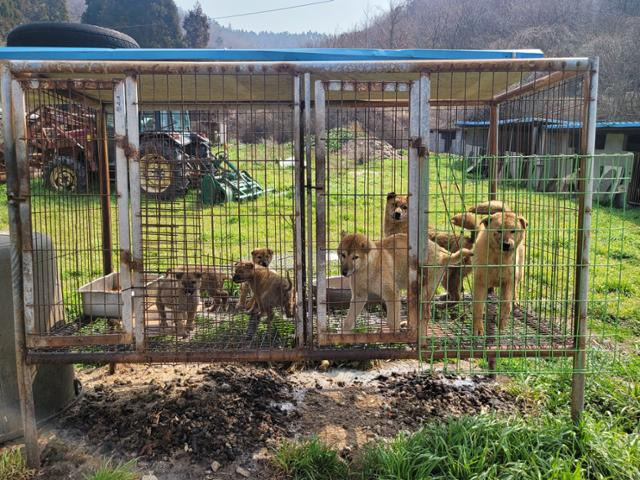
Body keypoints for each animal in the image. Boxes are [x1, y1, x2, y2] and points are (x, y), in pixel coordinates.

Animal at [338, 232, 472, 334]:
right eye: (343, 255)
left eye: (355, 257)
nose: (344, 272)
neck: (366, 269)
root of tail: (443, 252)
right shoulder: (359, 296)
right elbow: (348, 321)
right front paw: (344, 338)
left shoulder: (392, 294)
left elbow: (392, 322)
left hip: (424, 292)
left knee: (426, 315)